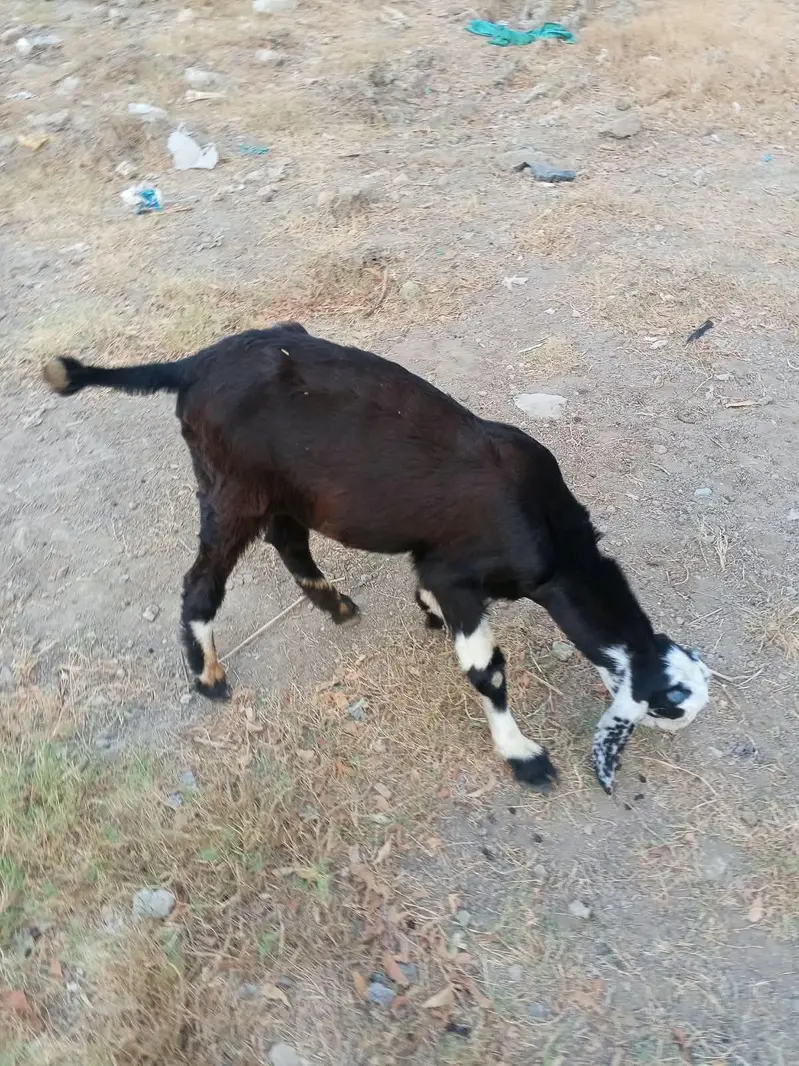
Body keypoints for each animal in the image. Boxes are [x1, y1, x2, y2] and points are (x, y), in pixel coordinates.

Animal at [43, 323, 710, 793]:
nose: (680, 733)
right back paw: (208, 675)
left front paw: (426, 613)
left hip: (283, 487)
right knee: (203, 580)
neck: (553, 535)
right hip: (231, 488)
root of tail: (194, 364)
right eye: (671, 709)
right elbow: (487, 670)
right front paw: (524, 758)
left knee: (288, 540)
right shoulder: (459, 573)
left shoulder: (436, 561)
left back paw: (333, 604)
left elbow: (429, 592)